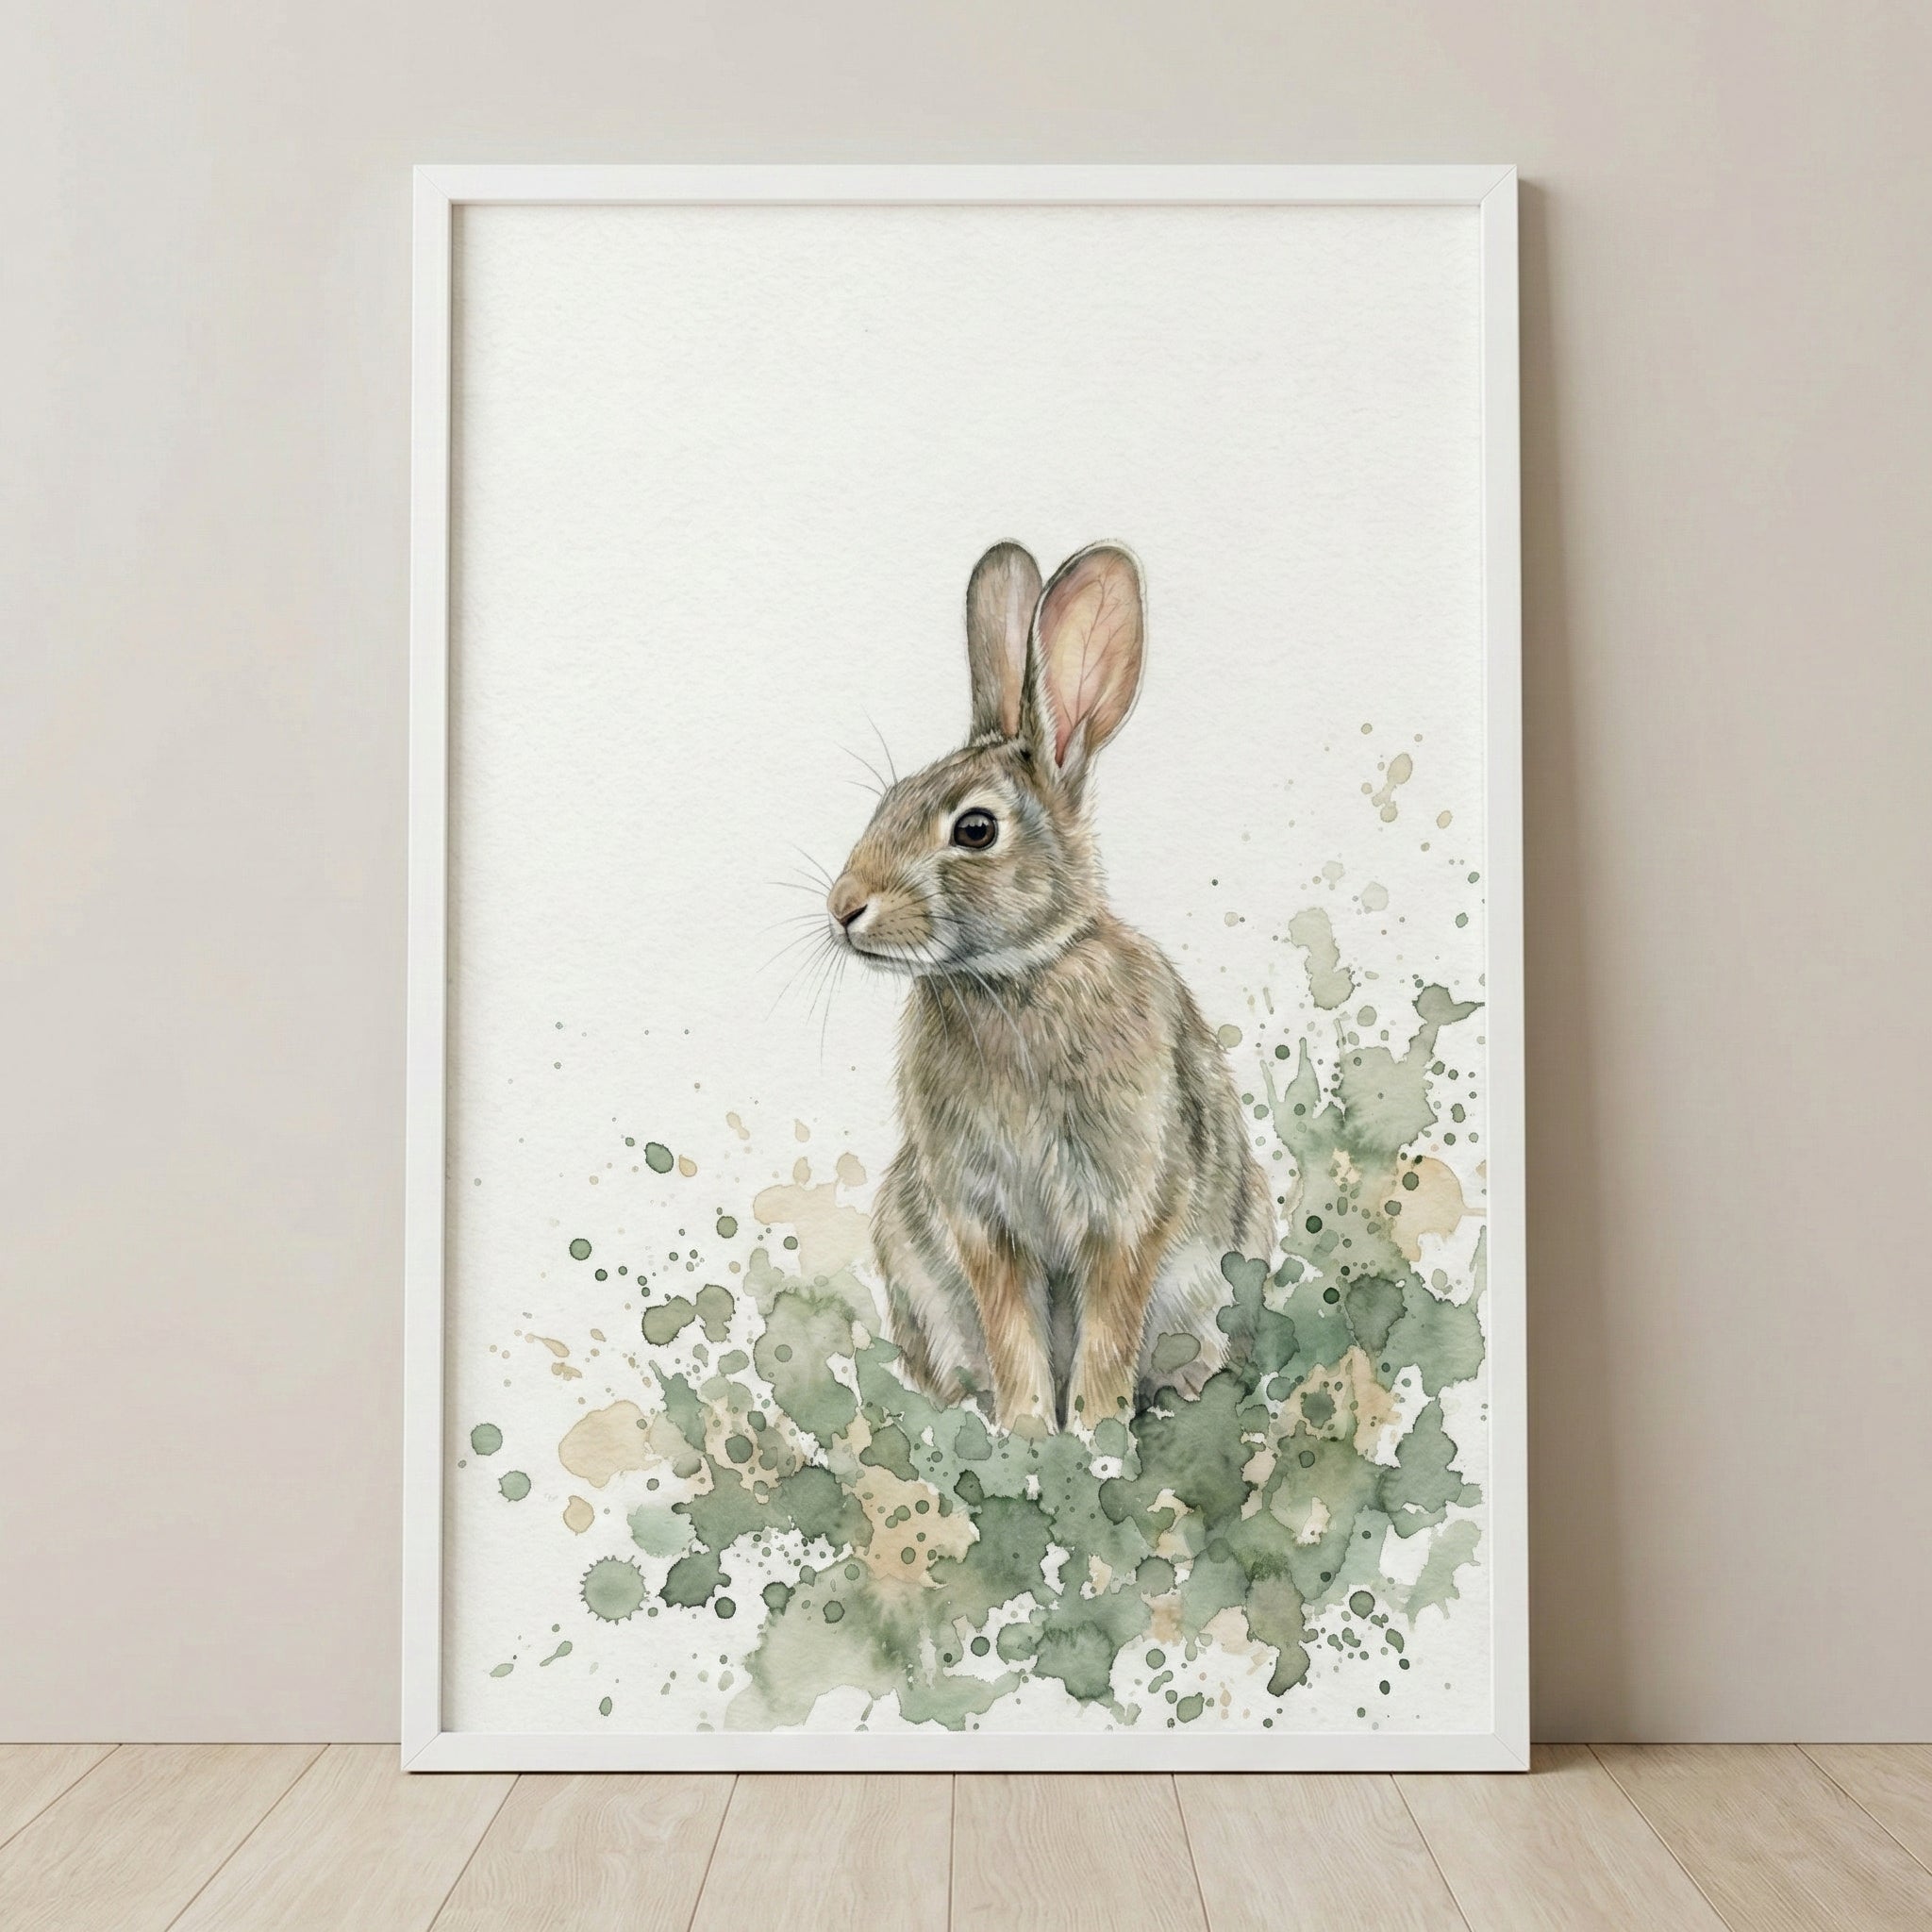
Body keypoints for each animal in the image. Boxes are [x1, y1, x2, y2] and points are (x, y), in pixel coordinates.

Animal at [825, 541, 1272, 1432]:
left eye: (974, 830)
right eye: (888, 803)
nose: (844, 907)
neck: (1018, 974)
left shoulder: (1129, 1207)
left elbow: (1107, 1332)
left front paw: (1094, 1435)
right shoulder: (980, 1219)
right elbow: (1013, 1334)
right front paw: (1030, 1434)